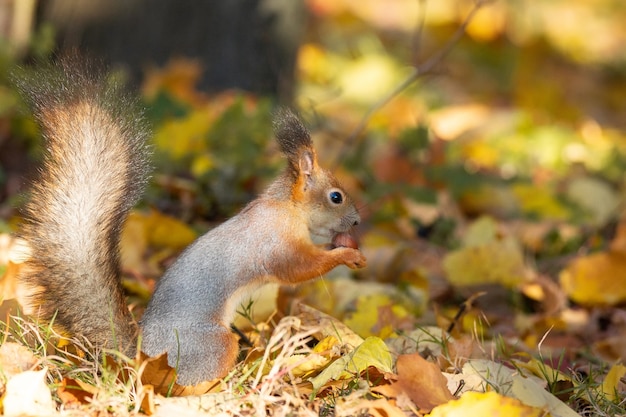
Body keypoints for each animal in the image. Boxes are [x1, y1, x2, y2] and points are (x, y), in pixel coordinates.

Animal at [14, 57, 366, 384]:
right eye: (336, 197)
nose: (357, 222)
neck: (287, 206)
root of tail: (143, 359)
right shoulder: (275, 240)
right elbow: (298, 268)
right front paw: (347, 255)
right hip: (210, 345)